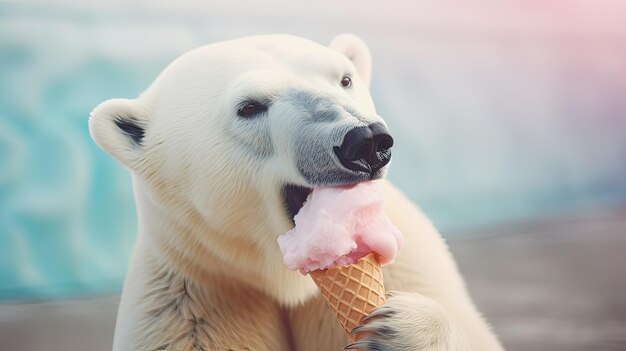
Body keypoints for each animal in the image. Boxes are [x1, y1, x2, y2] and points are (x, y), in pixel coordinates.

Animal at [89, 33, 502, 351]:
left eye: (344, 79)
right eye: (249, 107)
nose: (365, 141)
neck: (287, 281)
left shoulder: (410, 264)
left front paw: (400, 327)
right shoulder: (193, 299)